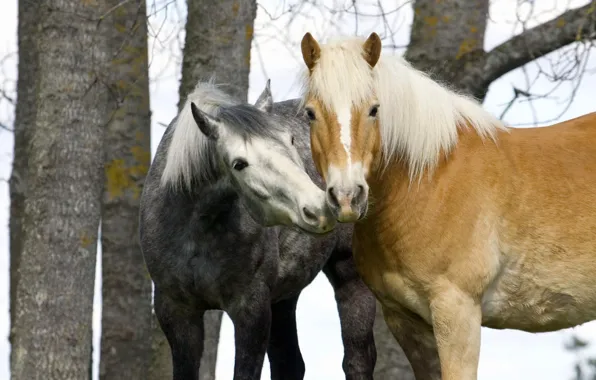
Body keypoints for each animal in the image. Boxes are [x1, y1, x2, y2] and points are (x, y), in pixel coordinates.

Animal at [139, 80, 378, 380]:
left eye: (290, 141)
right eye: (239, 164)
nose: (319, 208)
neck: (196, 230)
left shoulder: (251, 309)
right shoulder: (176, 312)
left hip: (350, 276)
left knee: (357, 360)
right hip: (285, 296)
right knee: (290, 363)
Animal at [300, 31, 596, 378]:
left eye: (374, 109)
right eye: (310, 113)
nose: (347, 196)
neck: (430, 179)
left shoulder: (457, 311)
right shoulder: (406, 322)